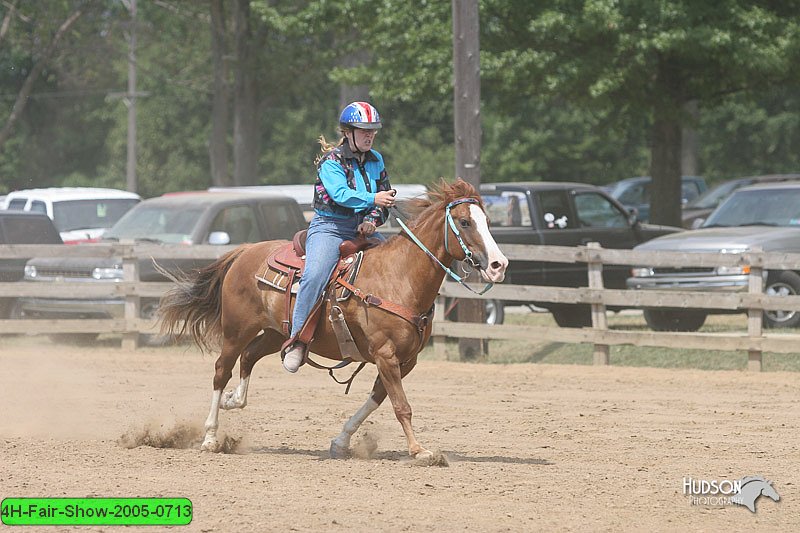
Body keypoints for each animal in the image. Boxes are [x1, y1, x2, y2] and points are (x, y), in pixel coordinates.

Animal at [156, 178, 506, 458]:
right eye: (464, 222)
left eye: (487, 221)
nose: (498, 265)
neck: (400, 276)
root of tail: (243, 251)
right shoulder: (386, 355)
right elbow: (401, 405)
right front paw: (420, 451)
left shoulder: (406, 360)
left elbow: (376, 399)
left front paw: (341, 442)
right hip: (236, 329)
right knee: (221, 370)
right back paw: (210, 437)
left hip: (276, 333)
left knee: (249, 358)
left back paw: (234, 400)